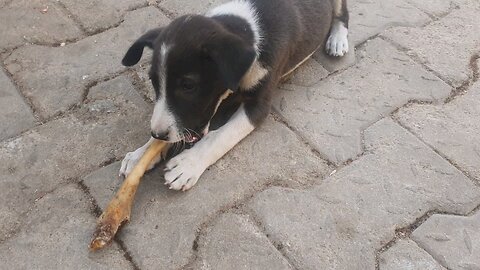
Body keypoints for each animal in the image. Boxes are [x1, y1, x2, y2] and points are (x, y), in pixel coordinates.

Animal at [118, 0, 346, 191]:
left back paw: (337, 40)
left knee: (343, 13)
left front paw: (188, 164)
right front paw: (141, 154)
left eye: (188, 86)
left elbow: (220, 136)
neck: (248, 28)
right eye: (153, 82)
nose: (158, 134)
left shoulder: (258, 106)